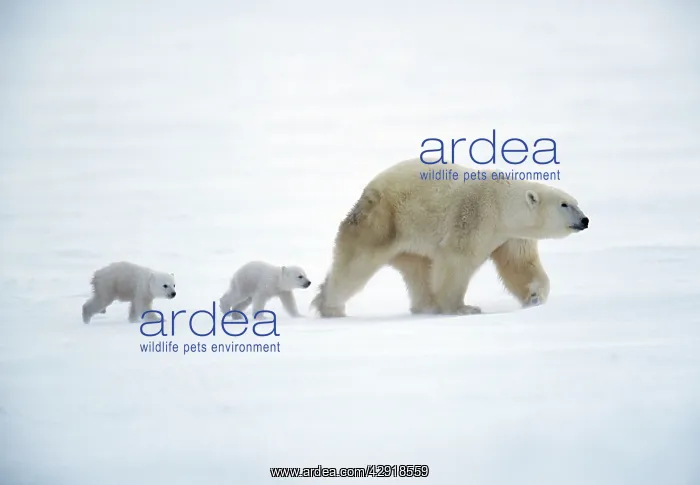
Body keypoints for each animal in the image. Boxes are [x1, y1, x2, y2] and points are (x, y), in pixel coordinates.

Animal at [310, 158, 589, 318]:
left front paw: (534, 297)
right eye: (565, 204)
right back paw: (330, 306)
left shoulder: (511, 236)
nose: (585, 220)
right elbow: (457, 260)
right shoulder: (475, 215)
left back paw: (426, 305)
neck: (502, 205)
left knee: (418, 269)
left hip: (410, 243)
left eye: (576, 202)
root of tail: (368, 190)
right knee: (357, 263)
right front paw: (463, 308)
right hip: (385, 221)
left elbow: (519, 263)